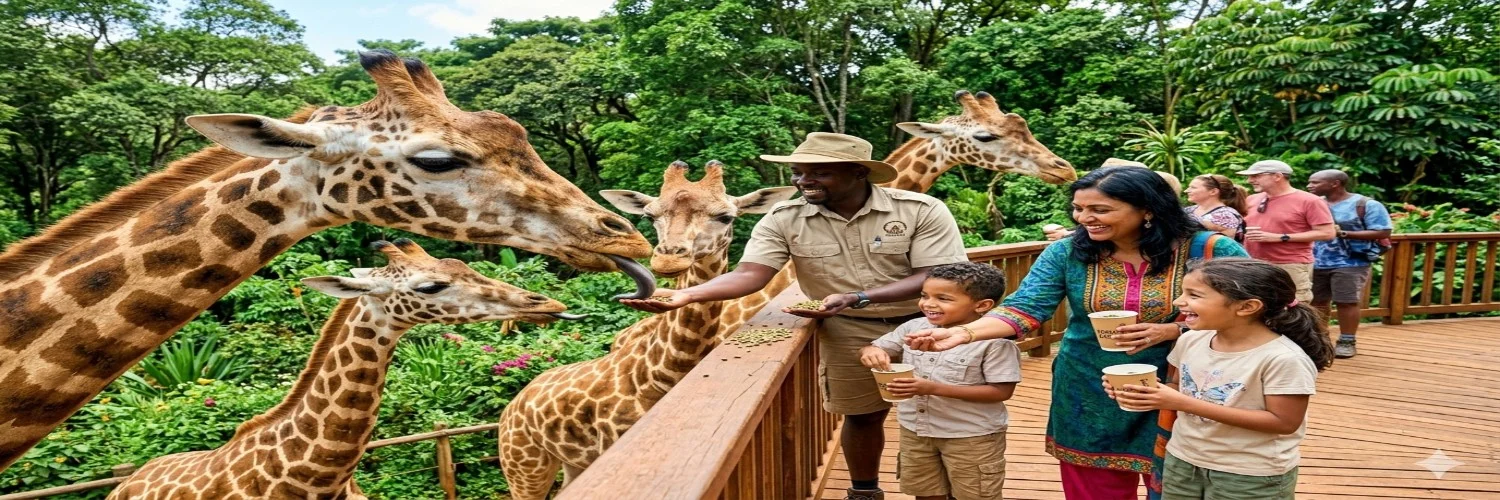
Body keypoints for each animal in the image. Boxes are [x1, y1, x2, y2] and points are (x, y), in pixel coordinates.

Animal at [496, 161, 798, 499]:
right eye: (650, 215)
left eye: (726, 216)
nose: (667, 259)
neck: (659, 375)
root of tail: (512, 404)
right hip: (524, 467)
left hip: (571, 461)